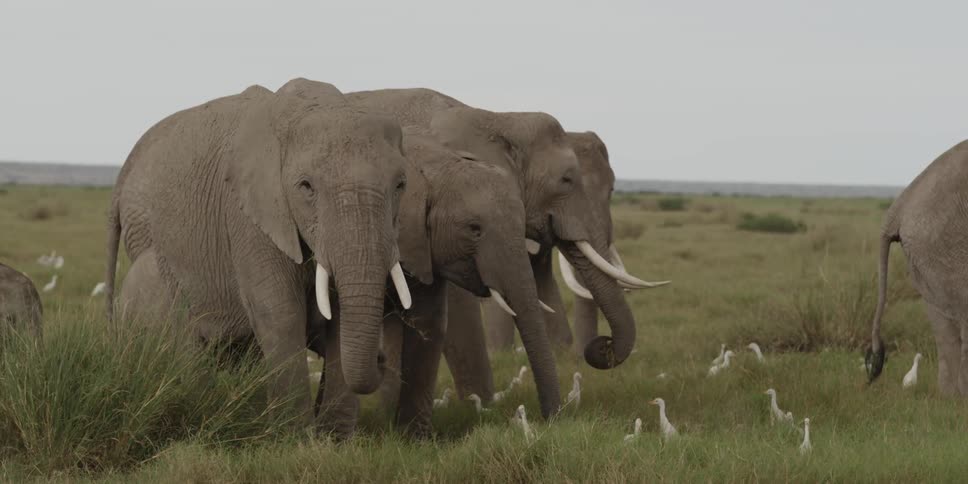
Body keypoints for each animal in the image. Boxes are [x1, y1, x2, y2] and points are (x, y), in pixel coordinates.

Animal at [105, 79, 413, 428]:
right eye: (306, 187)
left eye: (400, 185)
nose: (381, 358)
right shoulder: (247, 213)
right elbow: (280, 311)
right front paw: (296, 436)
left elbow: (337, 315)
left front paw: (332, 437)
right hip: (143, 224)